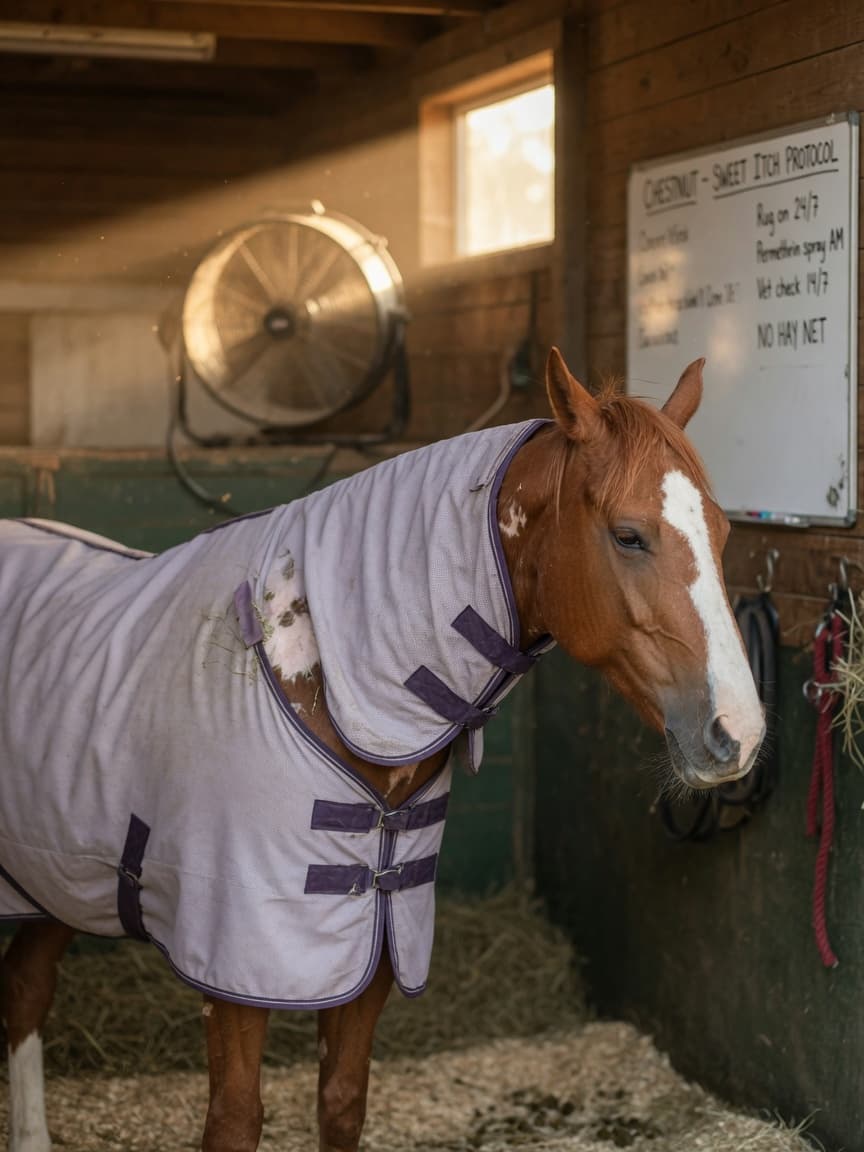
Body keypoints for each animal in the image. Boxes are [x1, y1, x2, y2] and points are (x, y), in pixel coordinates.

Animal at [0, 347, 764, 1152]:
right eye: (628, 535)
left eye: (721, 533)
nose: (738, 731)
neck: (314, 669)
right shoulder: (237, 963)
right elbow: (235, 1119)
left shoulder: (375, 946)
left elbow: (342, 1101)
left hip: (58, 872)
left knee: (25, 987)